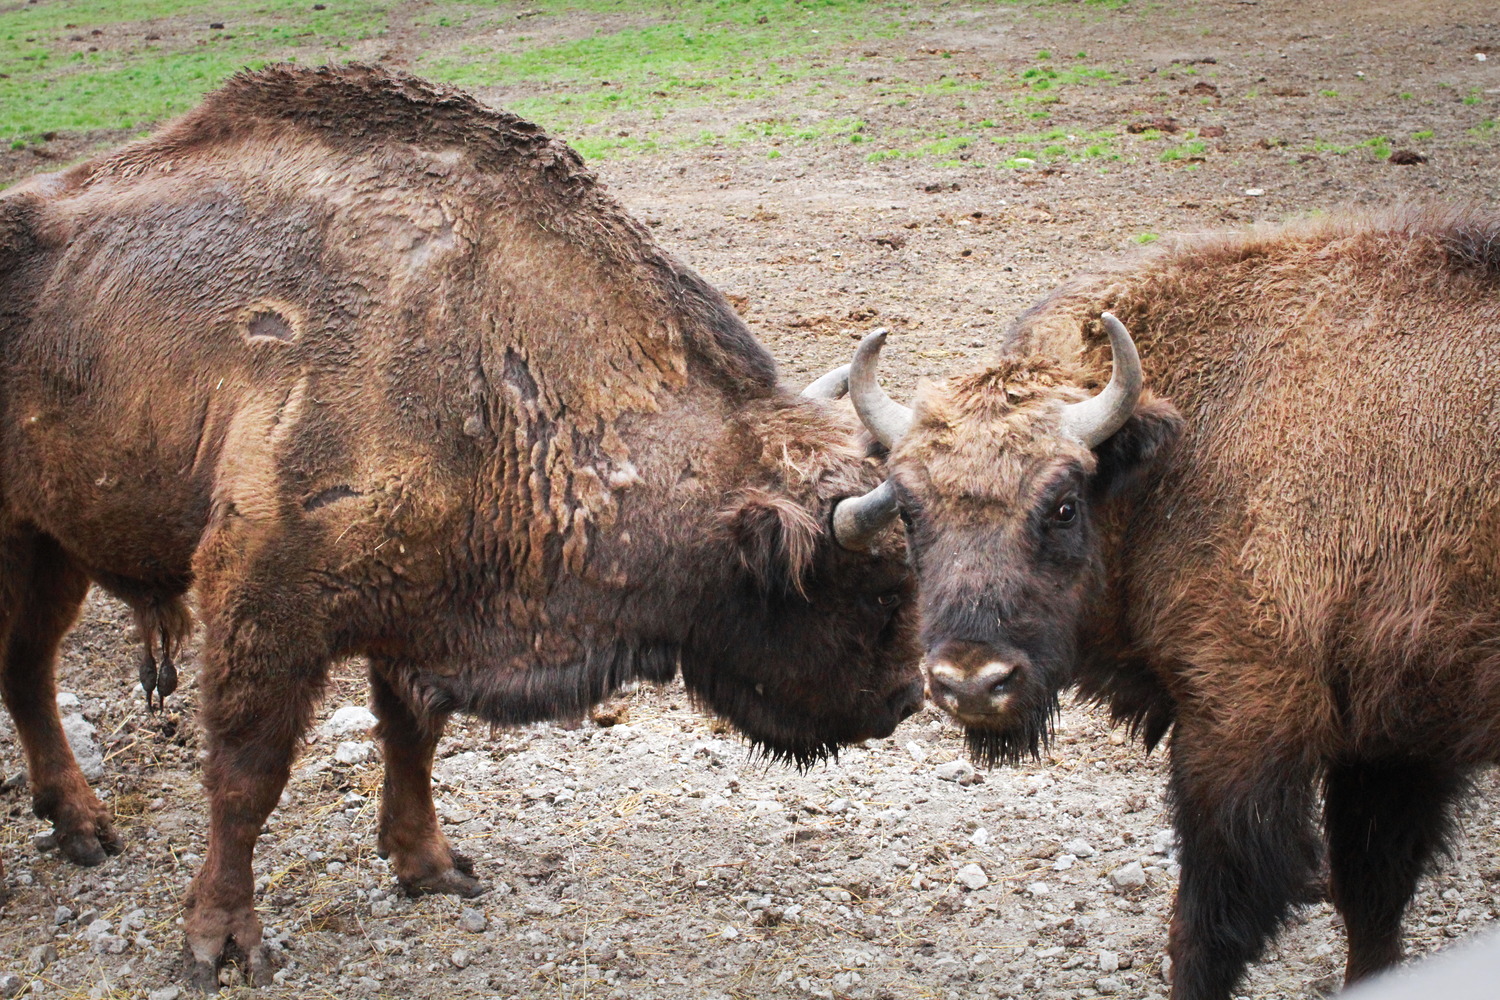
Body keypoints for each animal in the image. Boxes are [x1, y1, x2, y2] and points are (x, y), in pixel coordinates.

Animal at [0, 66, 918, 989]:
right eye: (870, 590)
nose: (905, 700)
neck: (494, 362)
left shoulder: (416, 610)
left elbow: (412, 738)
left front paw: (432, 868)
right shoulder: (264, 599)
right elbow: (246, 776)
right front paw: (222, 942)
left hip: (49, 546)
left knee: (28, 669)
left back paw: (83, 827)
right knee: (31, 668)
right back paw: (86, 828)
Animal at [840, 206, 1500, 995]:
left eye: (1063, 505)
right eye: (910, 512)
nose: (972, 683)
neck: (1179, 460)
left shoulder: (1244, 728)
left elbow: (1211, 927)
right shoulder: (1393, 741)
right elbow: (1373, 898)